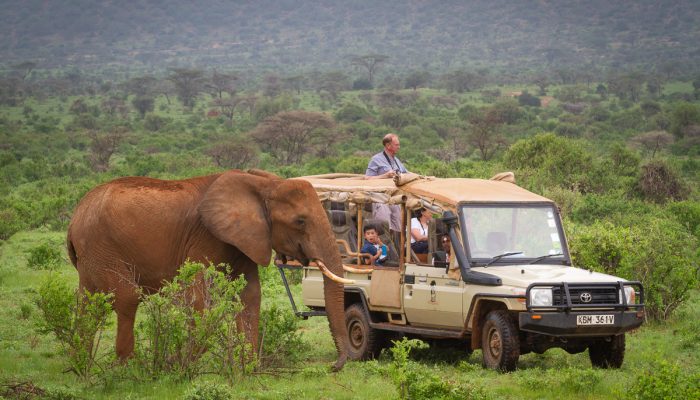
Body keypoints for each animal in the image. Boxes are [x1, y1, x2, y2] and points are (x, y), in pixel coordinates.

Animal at [67, 169, 350, 370]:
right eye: (300, 221)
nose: (333, 366)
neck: (263, 184)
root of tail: (75, 215)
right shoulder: (206, 236)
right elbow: (197, 294)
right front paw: (177, 363)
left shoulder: (244, 239)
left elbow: (250, 295)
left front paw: (248, 367)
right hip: (101, 246)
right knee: (127, 297)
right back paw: (126, 367)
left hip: (91, 254)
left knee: (87, 302)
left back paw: (82, 364)